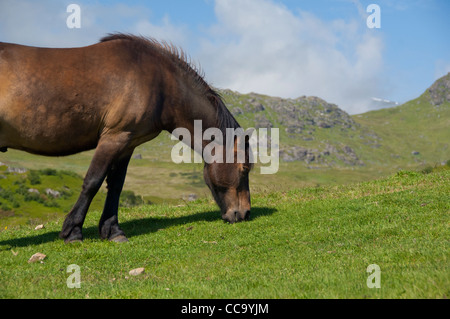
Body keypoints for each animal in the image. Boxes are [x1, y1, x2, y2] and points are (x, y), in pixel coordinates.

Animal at [0, 34, 253, 242]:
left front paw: (112, 231)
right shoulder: (114, 137)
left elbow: (116, 186)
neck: (160, 82)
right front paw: (73, 231)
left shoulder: (127, 143)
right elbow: (92, 182)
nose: (245, 213)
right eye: (244, 168)